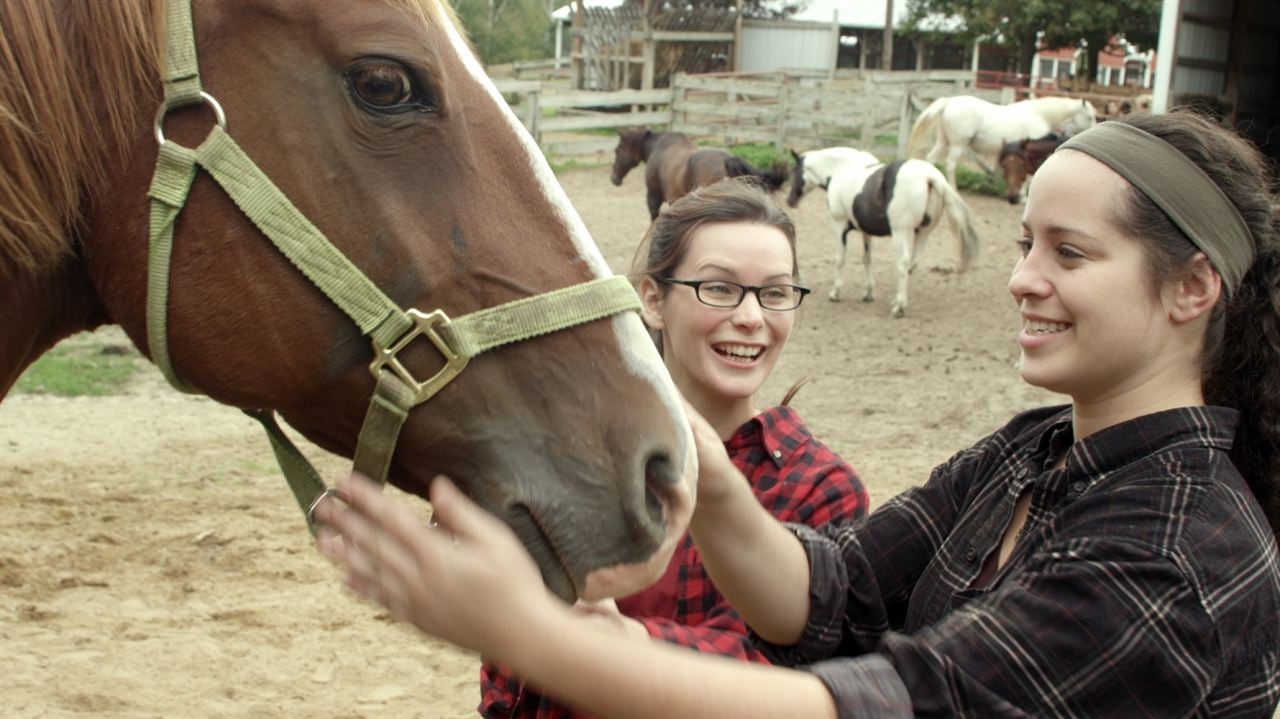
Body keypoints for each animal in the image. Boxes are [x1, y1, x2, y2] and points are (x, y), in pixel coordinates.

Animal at [778, 147, 977, 317]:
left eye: (794, 171)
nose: (790, 200)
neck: (840, 169)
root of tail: (930, 176)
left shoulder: (839, 226)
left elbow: (840, 259)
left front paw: (836, 292)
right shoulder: (866, 232)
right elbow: (867, 259)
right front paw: (868, 292)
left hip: (901, 232)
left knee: (903, 264)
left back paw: (899, 307)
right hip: (923, 233)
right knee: (912, 264)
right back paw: (897, 300)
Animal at [906, 95, 1095, 188]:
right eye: (1090, 116)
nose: (1095, 129)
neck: (1040, 115)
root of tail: (949, 102)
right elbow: (1029, 176)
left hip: (944, 142)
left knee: (931, 158)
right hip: (958, 145)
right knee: (951, 164)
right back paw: (953, 188)